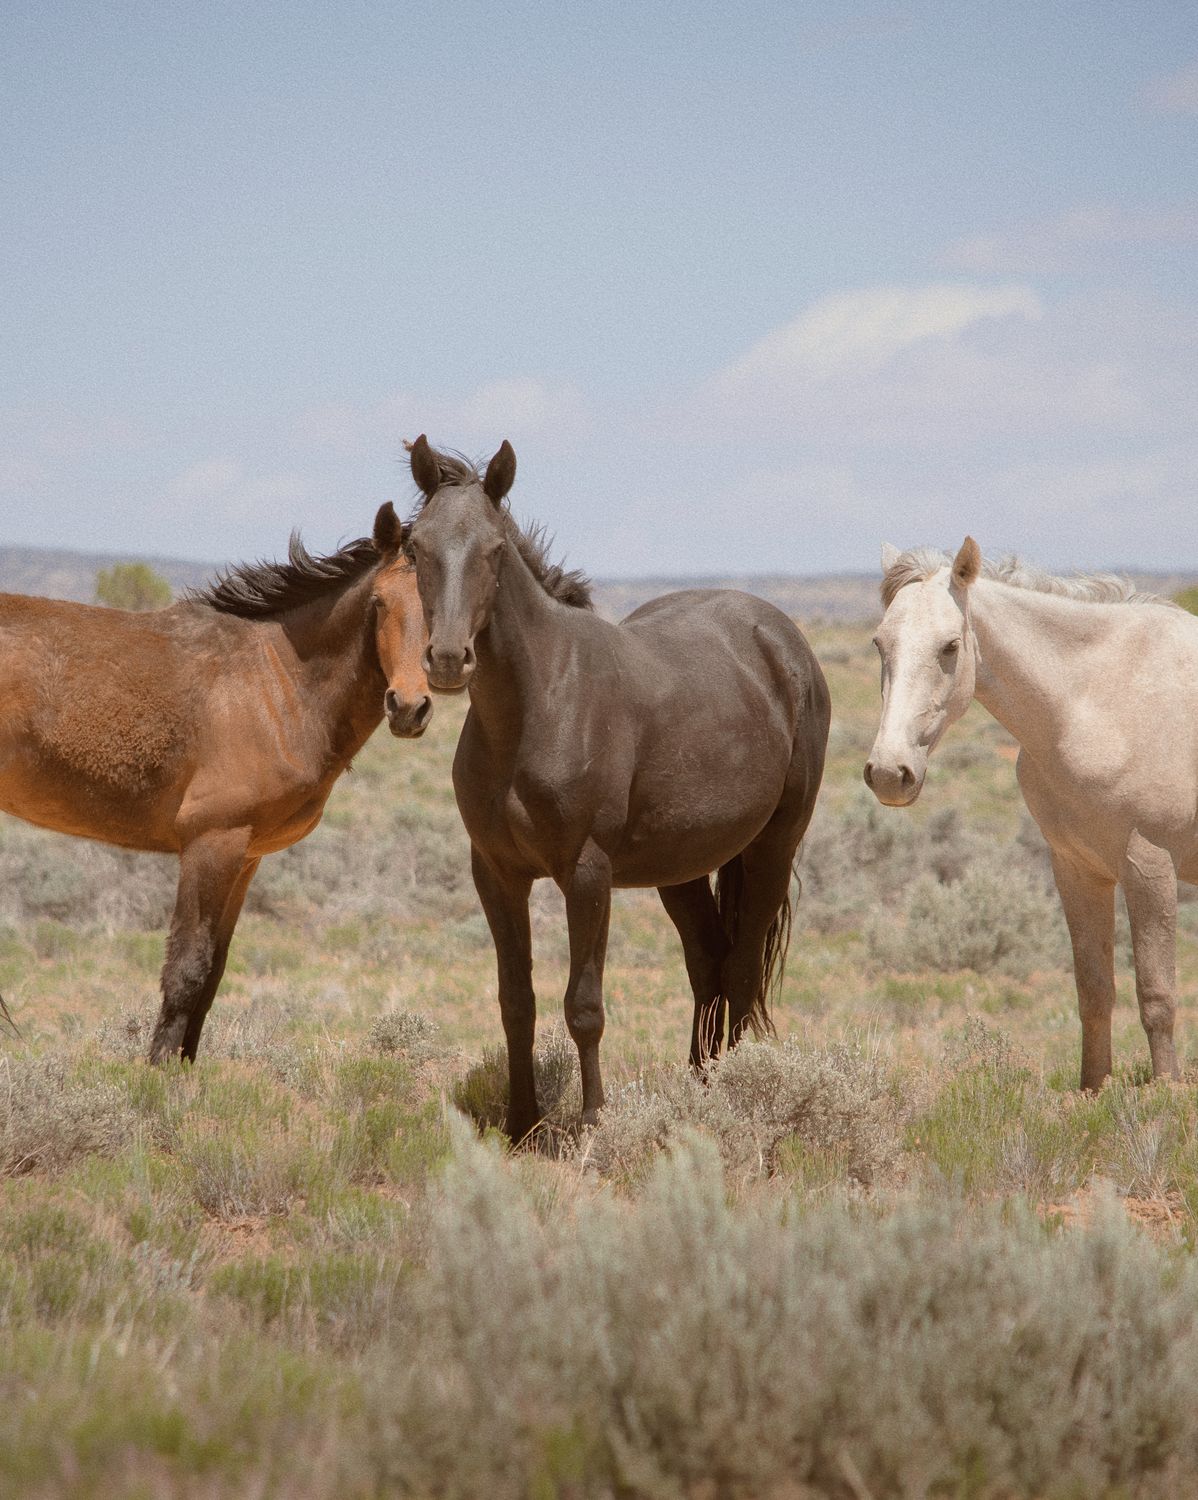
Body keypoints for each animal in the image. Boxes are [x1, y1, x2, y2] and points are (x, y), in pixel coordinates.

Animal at [0, 503, 428, 1063]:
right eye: (379, 603)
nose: (409, 706)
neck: (277, 682)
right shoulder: (211, 842)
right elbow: (187, 969)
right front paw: (158, 1076)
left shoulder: (245, 856)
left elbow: (212, 975)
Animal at [402, 434, 830, 1139]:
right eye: (415, 547)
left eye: (495, 550)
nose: (446, 660)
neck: (537, 705)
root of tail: (781, 639)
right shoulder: (495, 873)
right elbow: (516, 1001)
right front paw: (522, 1123)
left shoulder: (586, 873)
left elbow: (584, 1006)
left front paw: (594, 1122)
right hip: (681, 867)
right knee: (709, 965)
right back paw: (698, 1091)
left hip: (772, 847)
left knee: (741, 970)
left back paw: (736, 1096)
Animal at [864, 537, 1198, 1090]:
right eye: (878, 644)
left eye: (949, 647)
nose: (890, 773)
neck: (1099, 703)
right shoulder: (1077, 869)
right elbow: (1093, 991)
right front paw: (1093, 1089)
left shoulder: (1149, 866)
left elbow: (1157, 995)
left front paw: (1166, 1092)